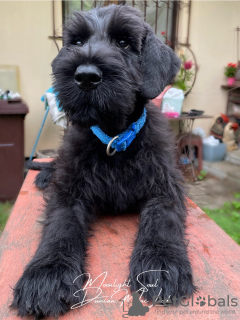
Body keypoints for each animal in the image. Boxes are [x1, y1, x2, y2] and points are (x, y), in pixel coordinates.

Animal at [10, 3, 195, 318]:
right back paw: (45, 175)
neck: (113, 140)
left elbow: (162, 221)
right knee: (54, 165)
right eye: (77, 41)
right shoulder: (69, 192)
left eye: (124, 42)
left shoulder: (165, 188)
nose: (85, 75)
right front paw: (47, 274)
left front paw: (162, 263)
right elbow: (61, 226)